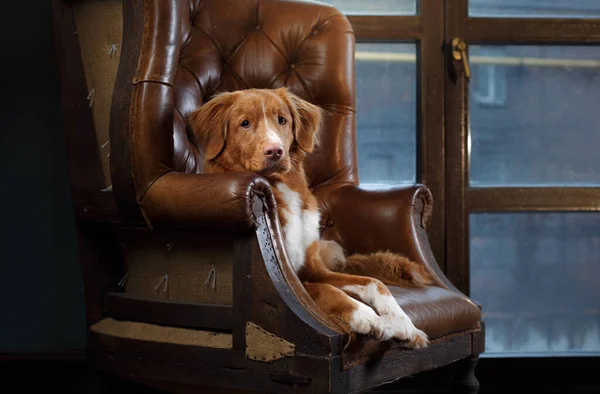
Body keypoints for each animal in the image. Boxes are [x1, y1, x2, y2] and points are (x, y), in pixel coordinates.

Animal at [190, 88, 434, 348]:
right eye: (244, 123)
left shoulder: (315, 270)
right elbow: (328, 289)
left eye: (282, 120)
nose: (275, 151)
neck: (280, 187)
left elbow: (374, 282)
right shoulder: (294, 283)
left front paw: (404, 323)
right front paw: (370, 318)